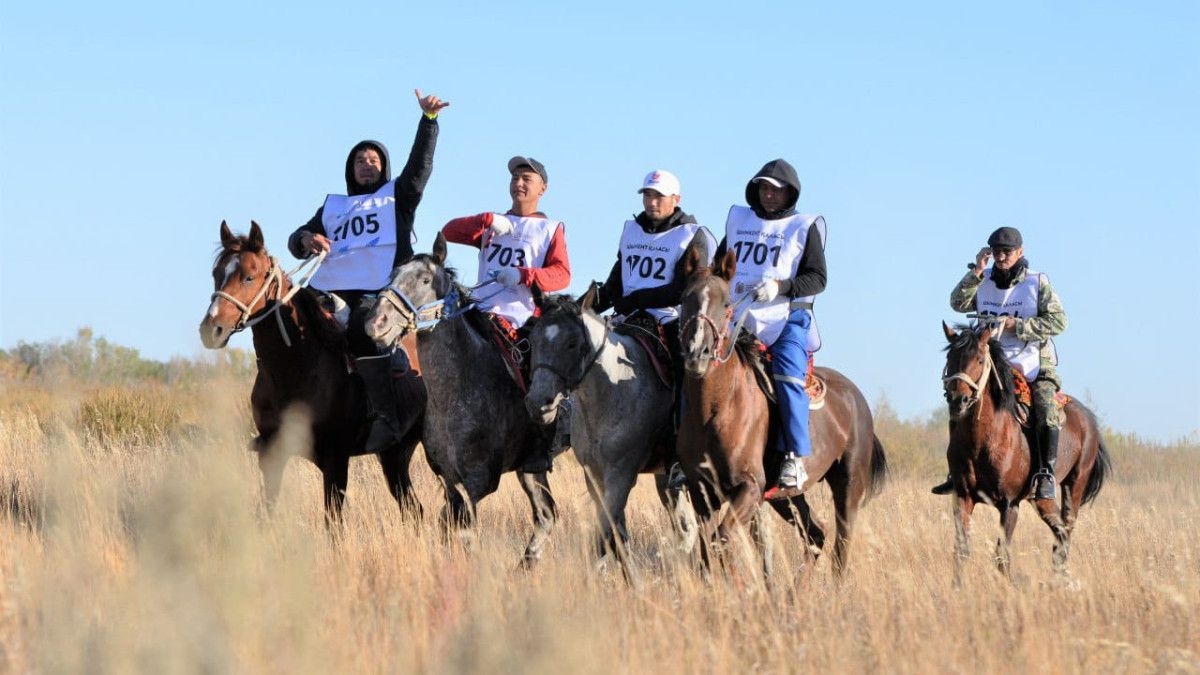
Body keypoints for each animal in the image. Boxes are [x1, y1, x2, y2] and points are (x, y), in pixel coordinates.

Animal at [196, 220, 422, 521]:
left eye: (249, 277)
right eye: (216, 273)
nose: (211, 330)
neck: (294, 369)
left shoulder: (335, 459)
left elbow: (333, 521)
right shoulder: (271, 454)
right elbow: (265, 512)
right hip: (394, 455)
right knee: (413, 509)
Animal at [362, 234, 559, 564]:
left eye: (424, 279)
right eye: (393, 275)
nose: (376, 322)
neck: (453, 396)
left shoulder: (480, 480)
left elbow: (456, 521)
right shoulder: (447, 475)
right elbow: (448, 520)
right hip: (531, 466)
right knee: (547, 516)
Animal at [523, 289, 696, 562]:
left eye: (572, 343)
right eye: (533, 339)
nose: (539, 403)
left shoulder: (620, 474)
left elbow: (605, 537)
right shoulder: (593, 475)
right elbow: (617, 538)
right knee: (687, 528)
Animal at [681, 235, 888, 571]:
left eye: (726, 304)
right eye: (685, 298)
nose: (697, 351)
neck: (715, 409)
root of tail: (856, 398)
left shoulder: (750, 488)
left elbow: (721, 539)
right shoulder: (703, 494)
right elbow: (706, 550)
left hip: (848, 486)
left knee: (840, 550)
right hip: (787, 497)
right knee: (815, 535)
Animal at [940, 319, 1108, 578]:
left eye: (979, 359)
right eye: (950, 357)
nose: (959, 400)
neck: (982, 440)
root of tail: (1089, 418)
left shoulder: (1010, 504)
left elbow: (1001, 557)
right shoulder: (963, 497)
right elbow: (961, 552)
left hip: (1075, 484)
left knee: (1067, 528)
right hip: (1040, 499)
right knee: (1059, 530)